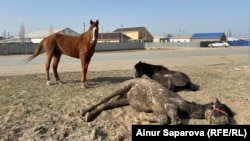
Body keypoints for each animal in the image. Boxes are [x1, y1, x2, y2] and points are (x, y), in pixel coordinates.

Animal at [81, 77, 234, 125]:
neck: (188, 109)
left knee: (106, 105)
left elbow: (163, 118)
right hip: (123, 87)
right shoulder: (169, 105)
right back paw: (84, 112)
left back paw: (89, 115)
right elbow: (173, 120)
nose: (226, 120)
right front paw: (142, 116)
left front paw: (143, 116)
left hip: (124, 100)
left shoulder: (160, 110)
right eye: (219, 108)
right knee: (103, 99)